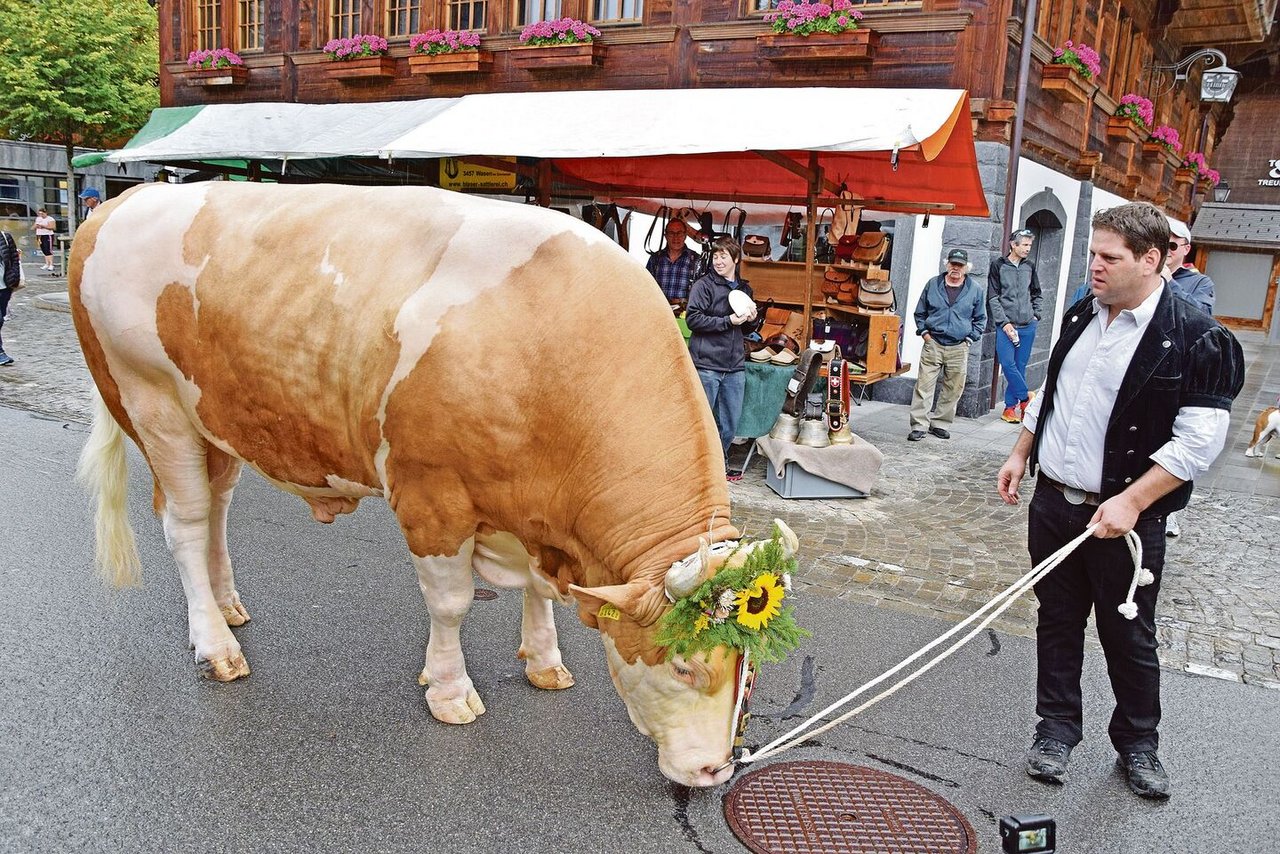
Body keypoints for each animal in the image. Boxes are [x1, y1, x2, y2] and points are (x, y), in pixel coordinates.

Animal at [72, 185, 798, 788]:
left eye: (751, 668)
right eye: (681, 665)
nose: (714, 772)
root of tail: (123, 201)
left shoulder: (536, 515)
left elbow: (540, 592)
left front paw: (544, 662)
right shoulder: (432, 496)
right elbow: (451, 603)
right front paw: (450, 692)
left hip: (217, 424)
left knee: (219, 508)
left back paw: (227, 607)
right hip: (152, 405)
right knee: (186, 522)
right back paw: (216, 646)